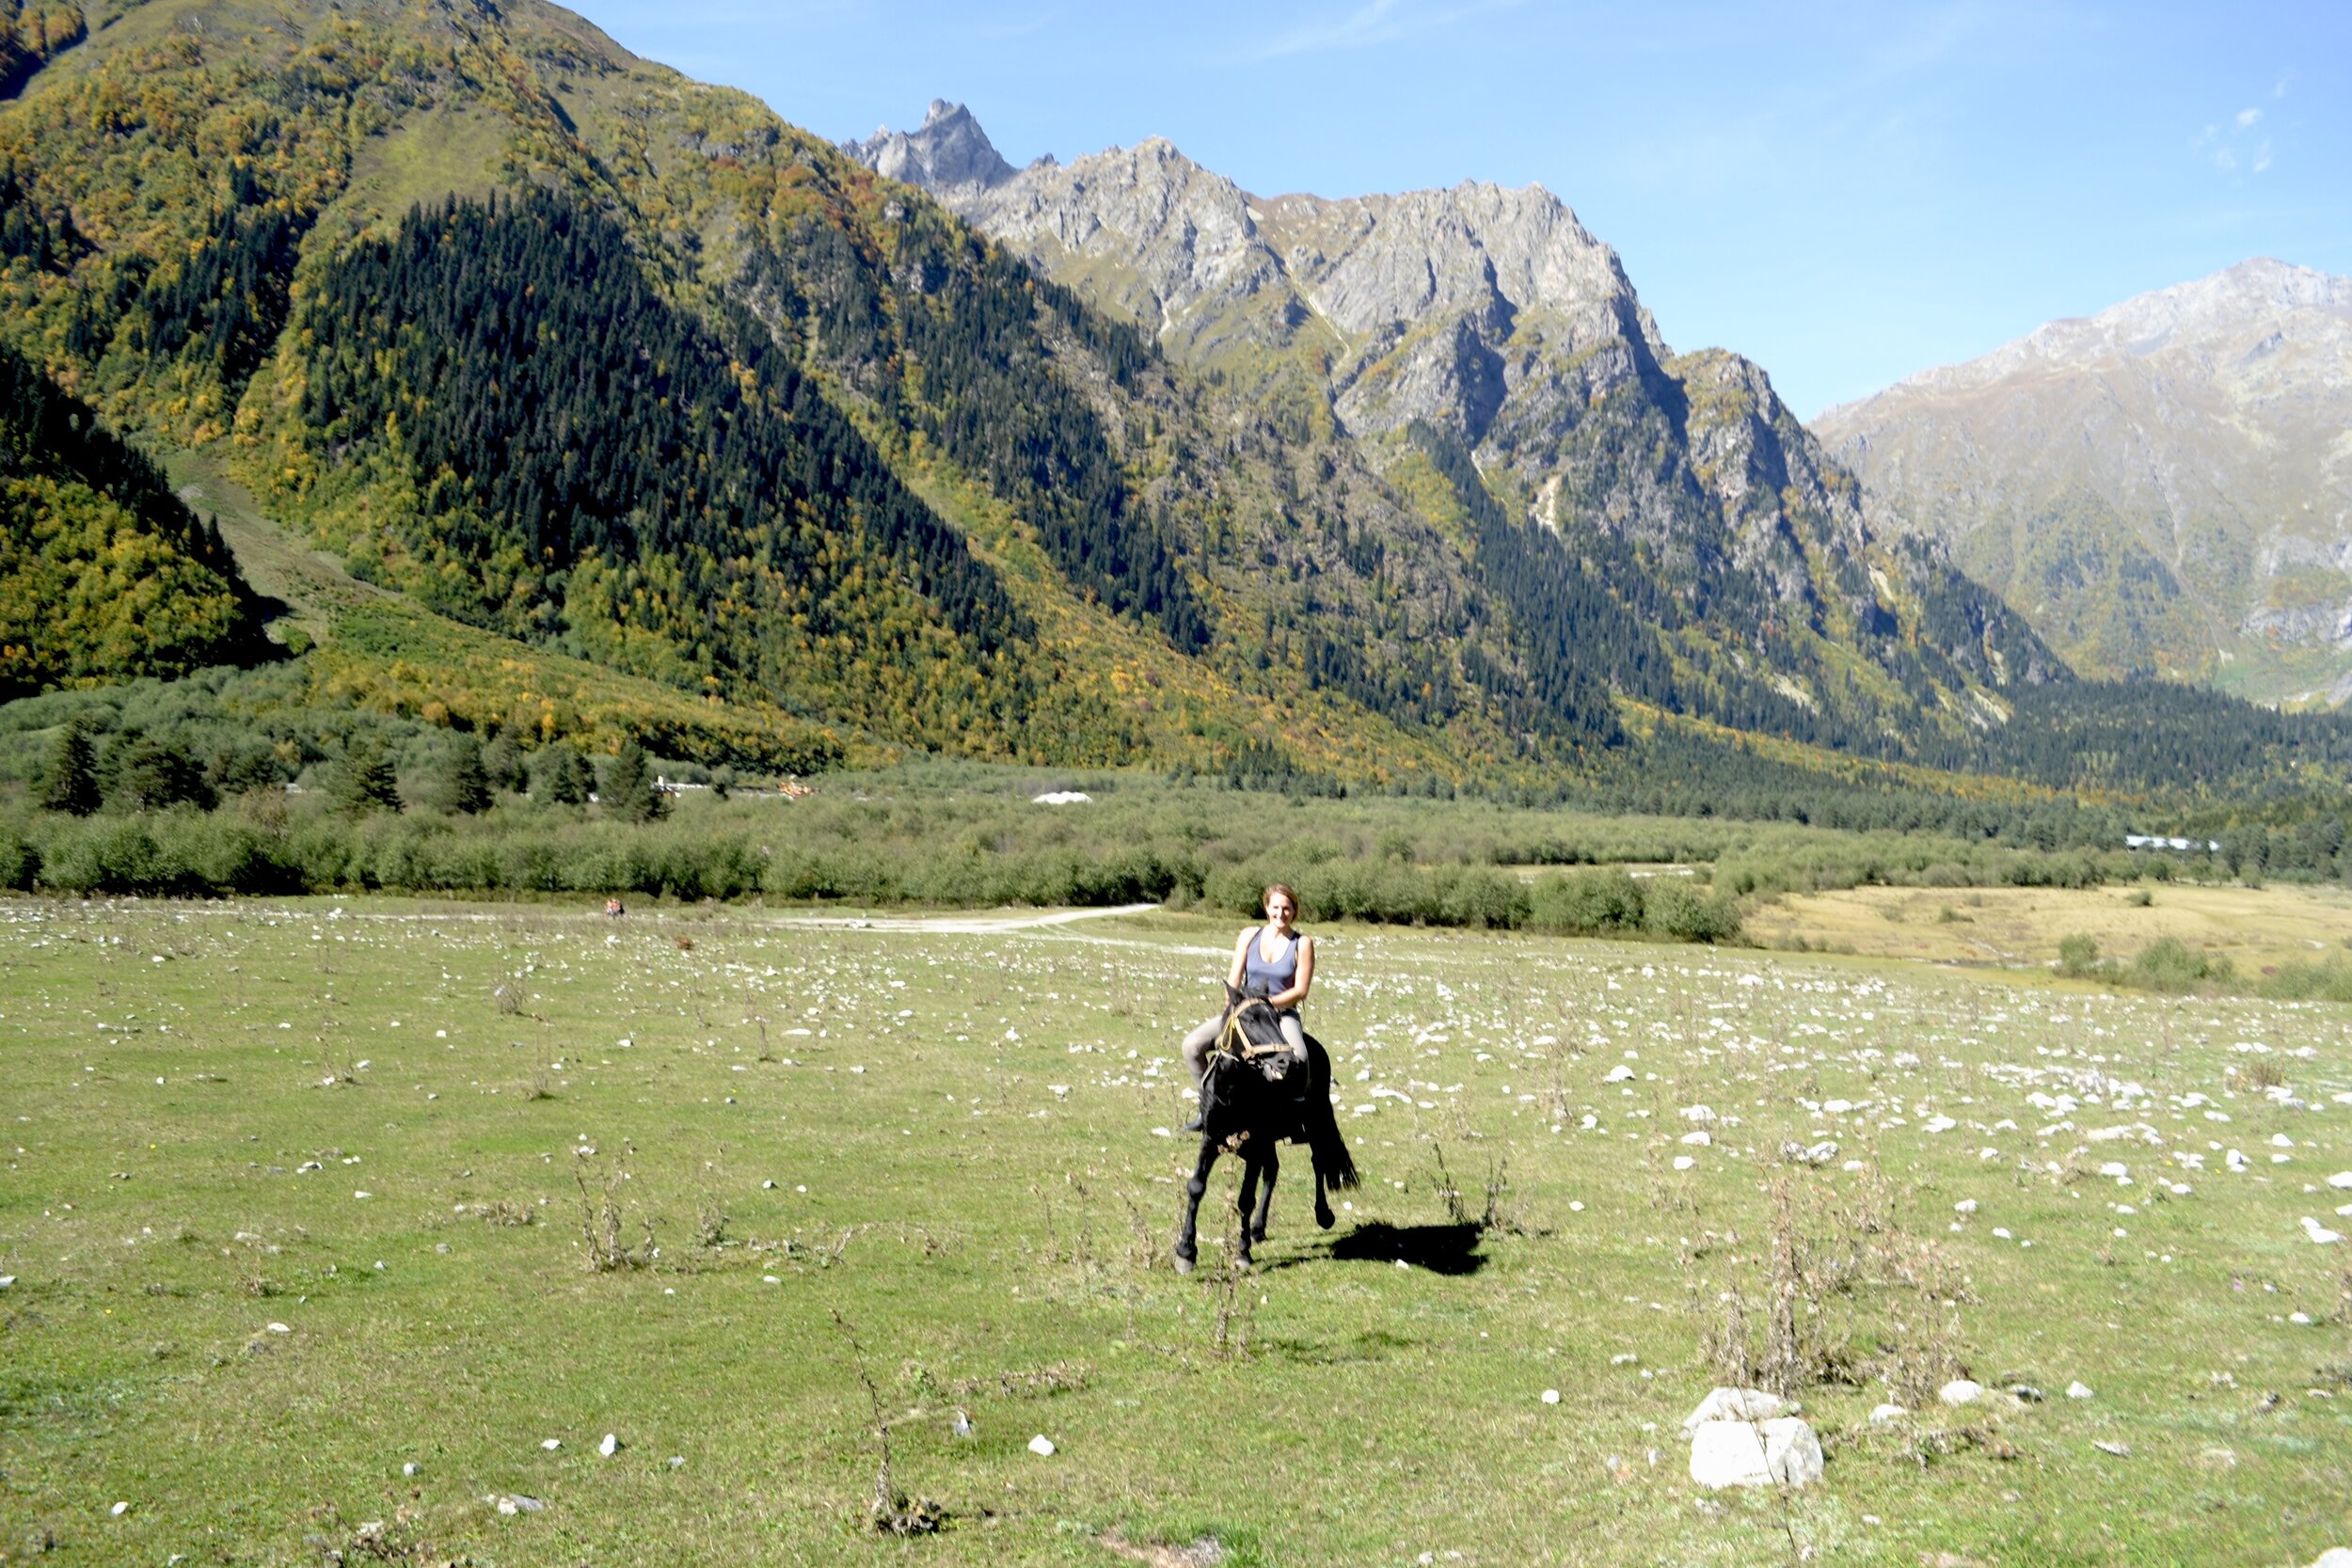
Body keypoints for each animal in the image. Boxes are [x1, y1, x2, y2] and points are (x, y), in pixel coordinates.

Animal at [1176, 991, 1364, 1278]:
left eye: (1276, 1018)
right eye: (1249, 1020)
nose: (1287, 1062)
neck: (1234, 1090)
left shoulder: (1256, 1144)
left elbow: (1245, 1199)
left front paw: (1243, 1253)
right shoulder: (1212, 1139)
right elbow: (1196, 1187)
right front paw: (1186, 1251)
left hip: (1314, 1124)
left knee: (1317, 1162)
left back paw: (1323, 1214)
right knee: (1273, 1170)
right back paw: (1258, 1228)